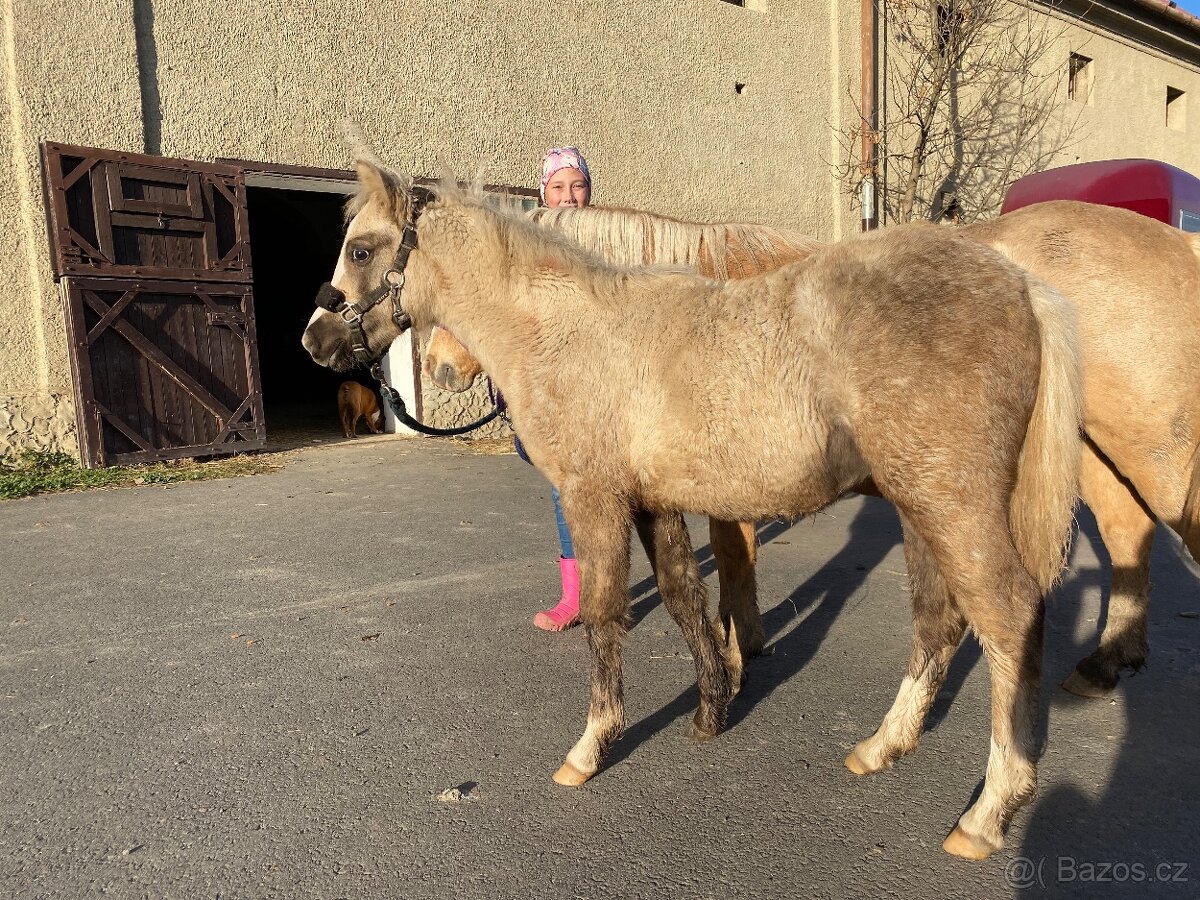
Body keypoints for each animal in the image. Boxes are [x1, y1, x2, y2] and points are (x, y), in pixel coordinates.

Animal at [302, 147, 1083, 860]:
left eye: (361, 248)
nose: (315, 339)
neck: (571, 331)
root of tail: (1020, 283)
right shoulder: (653, 503)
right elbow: (684, 597)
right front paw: (713, 708)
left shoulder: (594, 498)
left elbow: (606, 616)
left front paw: (589, 750)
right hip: (921, 507)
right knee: (939, 622)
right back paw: (881, 747)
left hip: (953, 504)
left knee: (1008, 617)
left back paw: (986, 816)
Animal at [425, 199, 1200, 698]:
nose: (435, 369)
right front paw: (742, 650)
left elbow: (733, 561)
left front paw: (735, 658)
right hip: (1087, 451)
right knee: (1128, 535)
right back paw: (1107, 663)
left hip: (1150, 454)